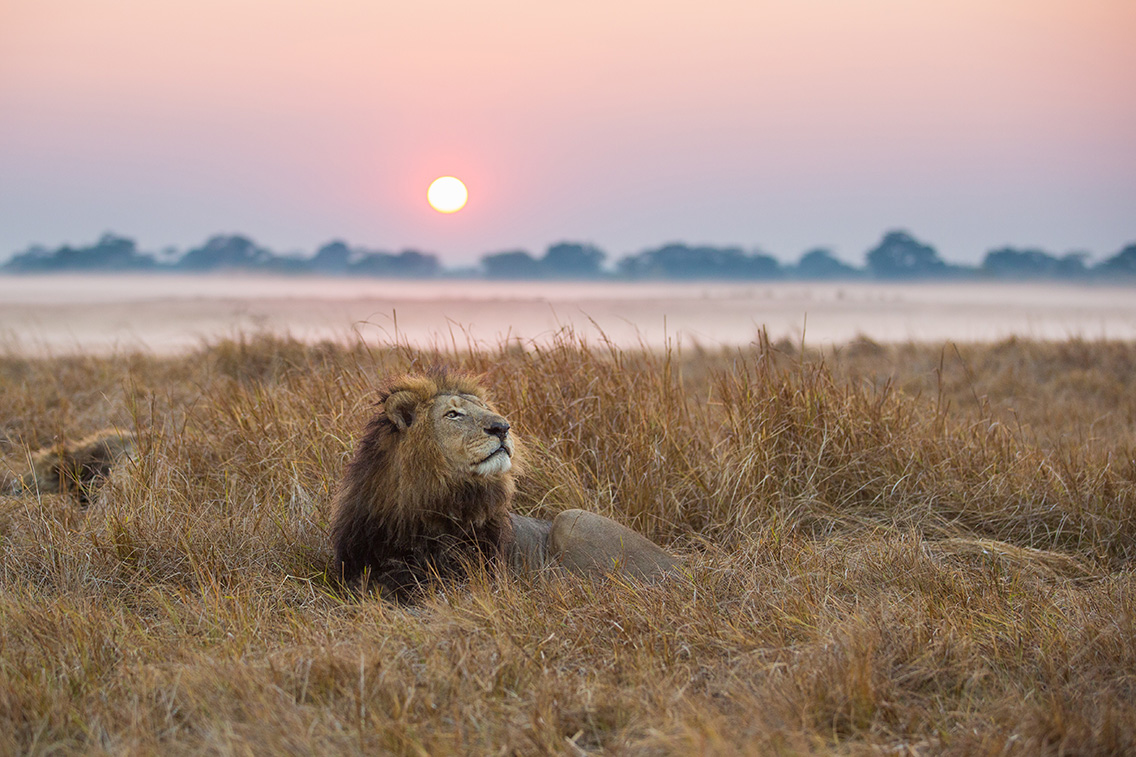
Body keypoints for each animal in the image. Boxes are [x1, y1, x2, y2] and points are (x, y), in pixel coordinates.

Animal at [330, 370, 677, 599]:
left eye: (485, 409)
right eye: (453, 414)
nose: (502, 427)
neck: (438, 504)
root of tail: (679, 563)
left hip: (571, 518)